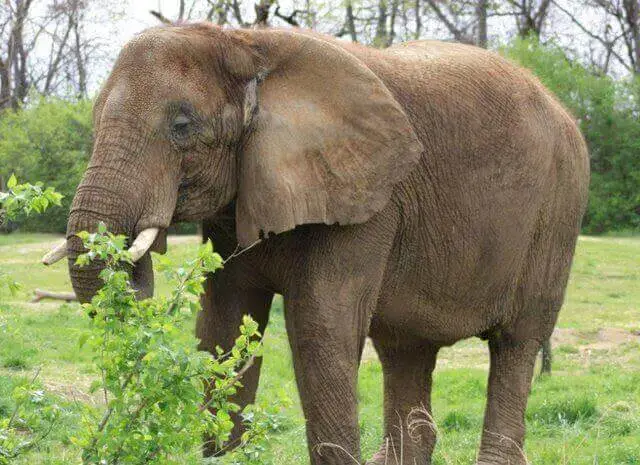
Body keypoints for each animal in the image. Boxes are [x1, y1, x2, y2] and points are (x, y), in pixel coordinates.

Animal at [43, 24, 590, 465]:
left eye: (181, 126)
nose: (133, 252)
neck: (246, 43)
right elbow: (223, 323)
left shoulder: (368, 198)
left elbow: (319, 327)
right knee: (406, 348)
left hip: (557, 212)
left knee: (517, 342)